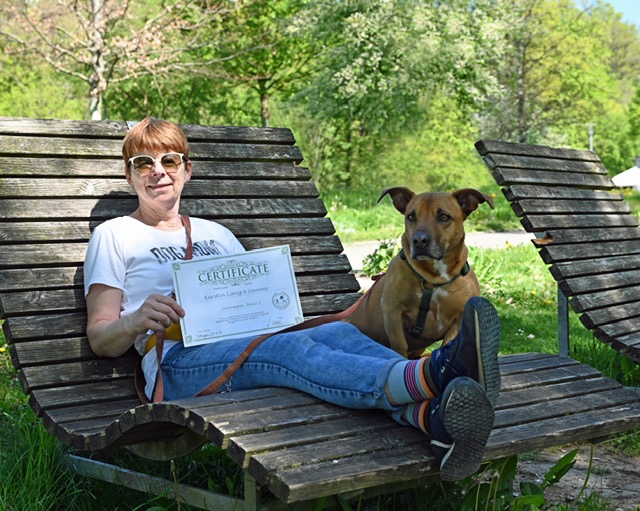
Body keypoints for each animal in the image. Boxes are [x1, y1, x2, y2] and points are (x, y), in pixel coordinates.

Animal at [345, 187, 494, 358]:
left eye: (443, 217)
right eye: (411, 216)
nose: (419, 241)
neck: (435, 279)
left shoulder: (458, 319)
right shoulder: (392, 310)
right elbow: (400, 344)